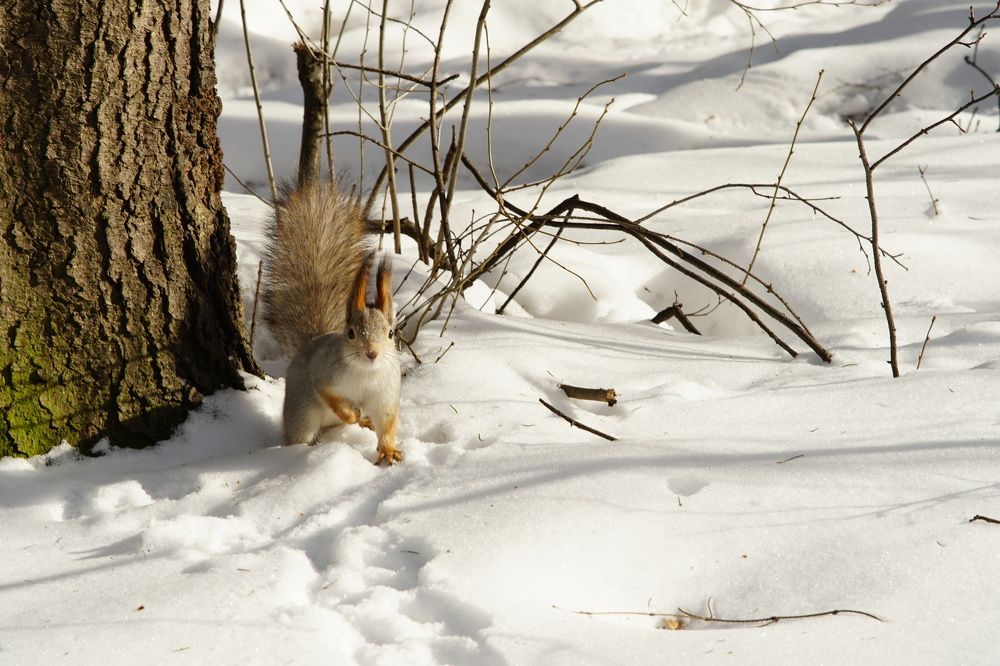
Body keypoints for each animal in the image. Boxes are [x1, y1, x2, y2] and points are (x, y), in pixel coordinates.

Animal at [261, 179, 402, 465]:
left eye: (391, 334)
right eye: (351, 333)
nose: (371, 353)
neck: (367, 374)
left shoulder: (386, 395)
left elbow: (387, 424)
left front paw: (388, 450)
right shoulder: (325, 375)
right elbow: (331, 397)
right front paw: (351, 413)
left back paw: (365, 422)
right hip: (302, 413)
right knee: (301, 432)